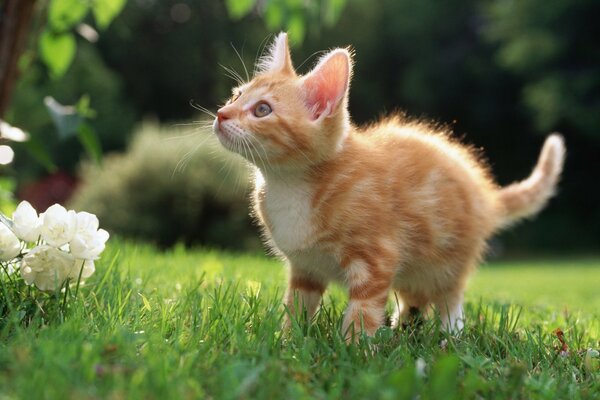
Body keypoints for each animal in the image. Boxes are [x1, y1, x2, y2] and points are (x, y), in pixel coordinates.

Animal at [212, 33, 568, 340]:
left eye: (262, 110)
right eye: (236, 95)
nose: (220, 113)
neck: (290, 183)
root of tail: (486, 196)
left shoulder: (376, 258)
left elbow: (363, 311)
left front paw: (353, 351)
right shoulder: (305, 268)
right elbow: (297, 306)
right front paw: (288, 342)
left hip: (446, 258)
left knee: (449, 297)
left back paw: (449, 336)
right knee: (416, 296)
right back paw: (404, 326)